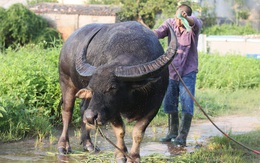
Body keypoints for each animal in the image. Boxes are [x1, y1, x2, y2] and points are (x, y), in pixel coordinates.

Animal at [58, 21, 178, 162]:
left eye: (112, 87)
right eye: (92, 87)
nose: (90, 117)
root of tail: (67, 43)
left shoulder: (154, 106)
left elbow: (138, 132)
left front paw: (134, 156)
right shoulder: (111, 110)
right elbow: (120, 130)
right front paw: (121, 155)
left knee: (83, 109)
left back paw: (88, 144)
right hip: (66, 81)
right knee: (67, 111)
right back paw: (63, 146)